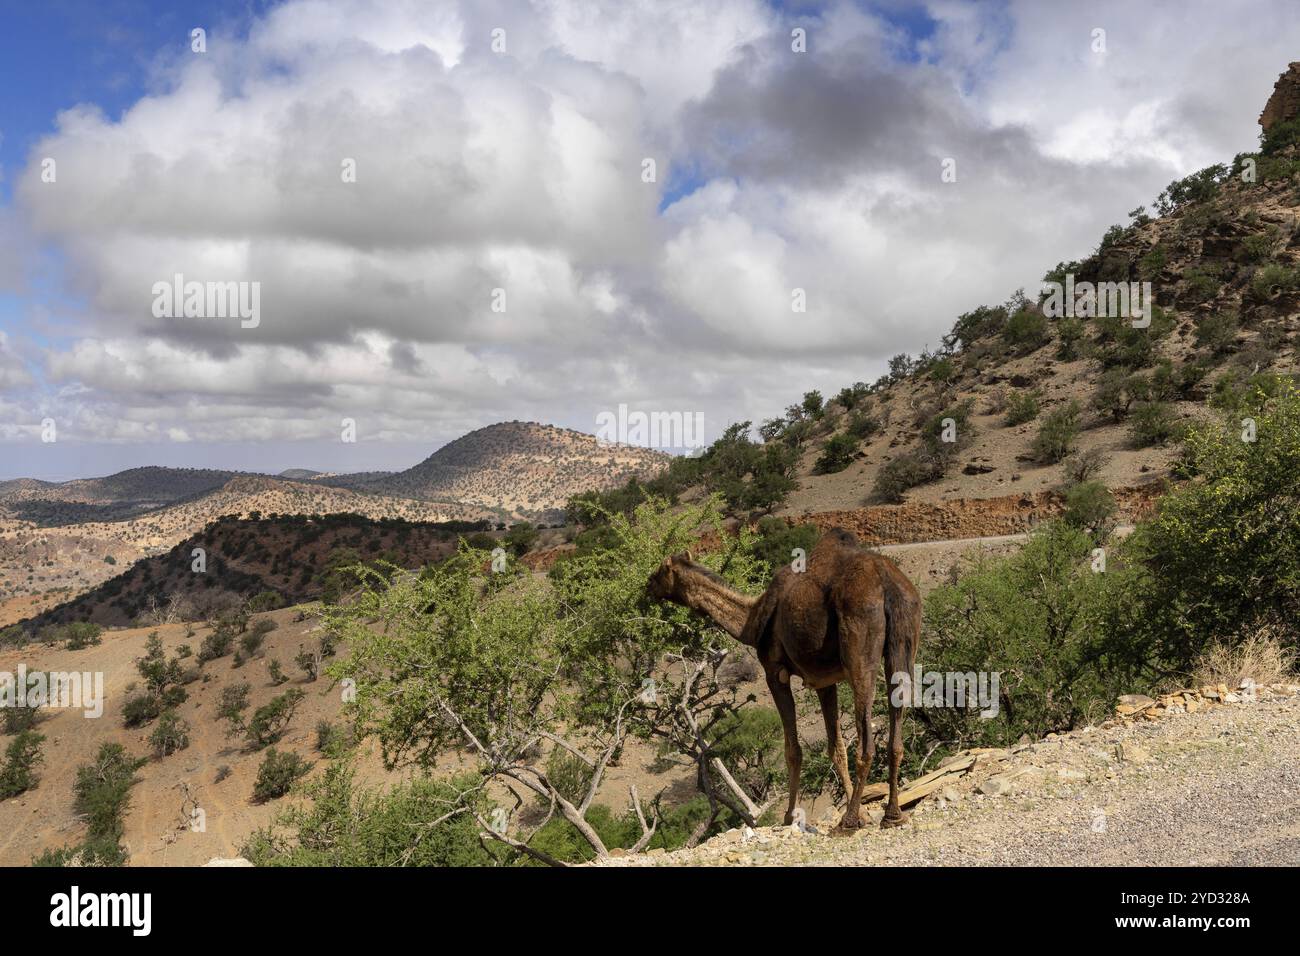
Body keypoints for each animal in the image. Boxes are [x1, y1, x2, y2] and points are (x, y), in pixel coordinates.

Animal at [644, 528, 920, 832]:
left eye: (660, 571)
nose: (647, 586)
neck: (751, 622)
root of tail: (888, 583)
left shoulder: (775, 672)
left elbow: (793, 750)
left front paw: (791, 817)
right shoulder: (825, 680)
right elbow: (836, 747)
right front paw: (861, 812)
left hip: (860, 646)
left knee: (866, 740)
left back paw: (846, 824)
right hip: (904, 639)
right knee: (896, 732)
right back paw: (892, 815)